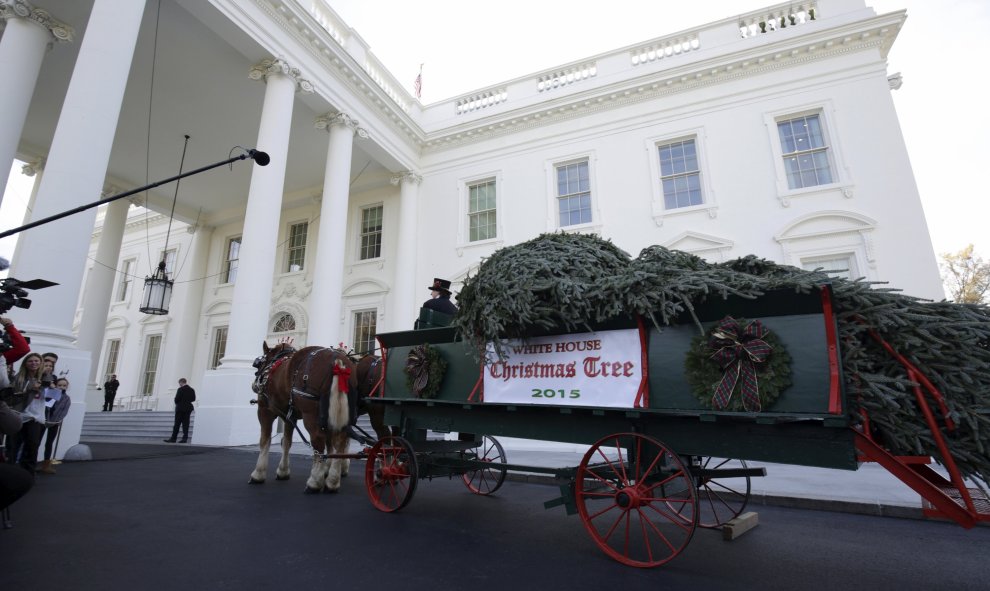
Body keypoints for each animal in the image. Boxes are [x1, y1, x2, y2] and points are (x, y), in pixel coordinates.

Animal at [250, 344, 358, 492]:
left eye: (260, 363)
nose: (254, 385)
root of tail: (338, 362)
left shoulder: (265, 411)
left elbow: (264, 441)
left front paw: (258, 474)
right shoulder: (290, 416)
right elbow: (286, 442)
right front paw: (283, 471)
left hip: (311, 414)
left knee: (319, 440)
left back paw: (315, 481)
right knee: (340, 441)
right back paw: (333, 480)